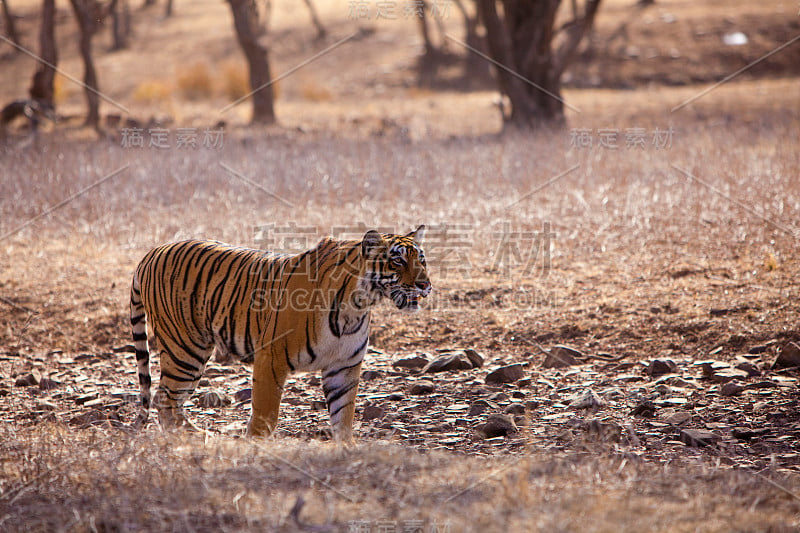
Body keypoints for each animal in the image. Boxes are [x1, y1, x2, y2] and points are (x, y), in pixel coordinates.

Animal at [130, 224, 432, 440]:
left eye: (422, 260)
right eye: (397, 262)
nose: (425, 285)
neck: (359, 304)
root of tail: (152, 251)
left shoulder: (344, 365)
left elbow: (343, 415)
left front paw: (346, 450)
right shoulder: (271, 358)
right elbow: (266, 413)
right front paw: (255, 447)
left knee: (170, 399)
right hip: (186, 348)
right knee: (165, 398)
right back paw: (191, 439)